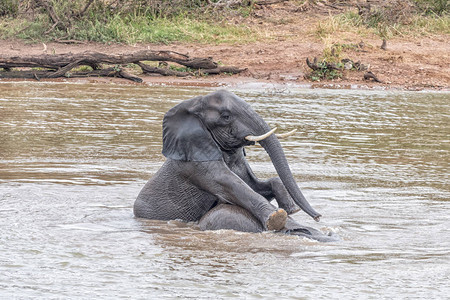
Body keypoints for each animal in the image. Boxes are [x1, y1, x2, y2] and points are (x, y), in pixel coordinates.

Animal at [133, 89, 334, 241]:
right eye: (226, 116)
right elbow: (232, 185)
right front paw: (277, 218)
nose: (318, 217)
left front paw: (291, 208)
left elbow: (255, 186)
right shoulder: (196, 165)